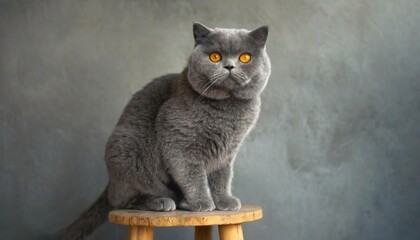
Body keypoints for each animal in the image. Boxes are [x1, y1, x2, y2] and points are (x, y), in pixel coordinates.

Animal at [53, 22, 270, 238]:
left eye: (245, 57)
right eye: (215, 56)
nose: (229, 66)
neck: (227, 109)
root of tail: (110, 182)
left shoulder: (226, 152)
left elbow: (222, 177)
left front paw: (224, 201)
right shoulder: (178, 142)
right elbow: (192, 176)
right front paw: (202, 202)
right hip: (126, 150)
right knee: (124, 199)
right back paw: (161, 202)